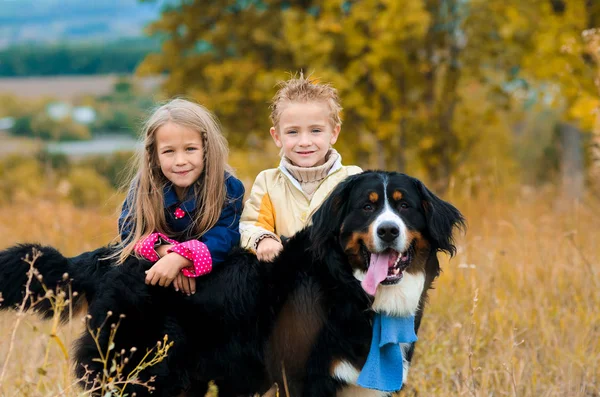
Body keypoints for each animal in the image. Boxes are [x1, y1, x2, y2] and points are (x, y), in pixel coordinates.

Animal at [0, 172, 464, 396]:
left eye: (404, 207)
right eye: (367, 209)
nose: (387, 230)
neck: (345, 288)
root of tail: (111, 255)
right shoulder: (305, 379)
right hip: (139, 374)